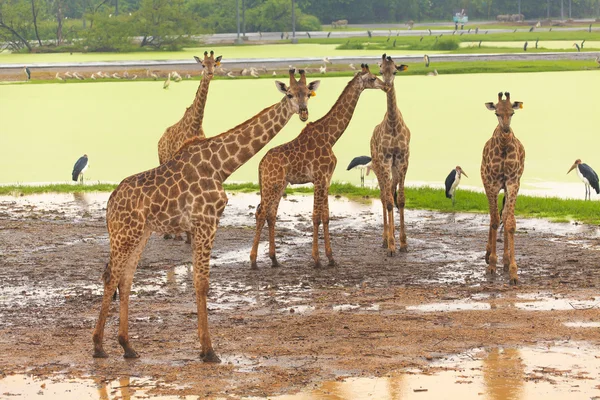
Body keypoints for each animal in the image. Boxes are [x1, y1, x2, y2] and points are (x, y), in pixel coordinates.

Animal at [158, 50, 224, 244]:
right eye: (202, 64)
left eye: (214, 64)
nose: (210, 73)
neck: (195, 124)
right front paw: (186, 236)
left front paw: (191, 237)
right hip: (163, 161)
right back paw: (171, 234)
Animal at [250, 65, 386, 268]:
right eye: (372, 78)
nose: (386, 86)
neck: (330, 136)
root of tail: (261, 164)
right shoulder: (319, 178)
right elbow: (315, 217)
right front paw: (316, 259)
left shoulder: (327, 179)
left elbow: (326, 217)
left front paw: (331, 258)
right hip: (271, 184)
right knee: (261, 213)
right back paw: (253, 261)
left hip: (279, 184)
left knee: (271, 214)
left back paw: (274, 259)